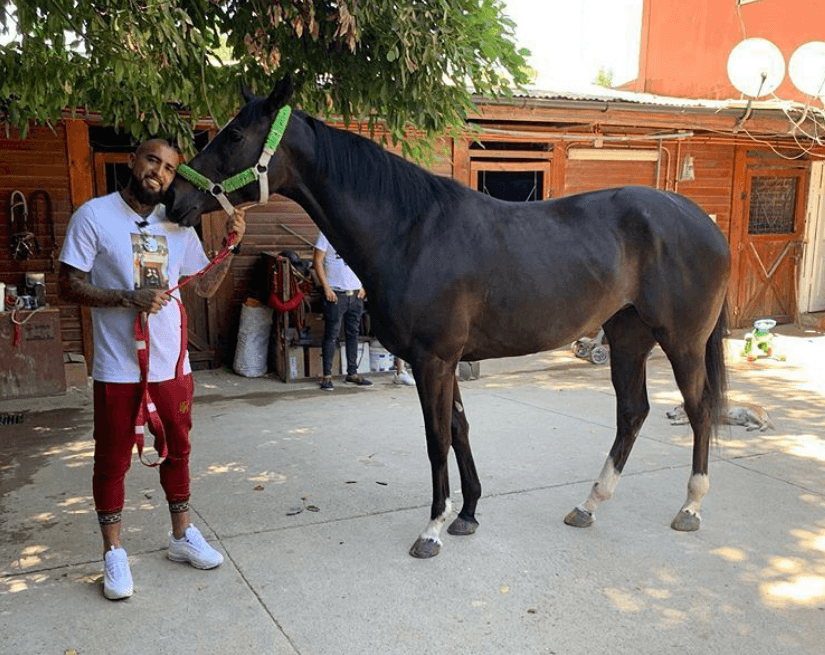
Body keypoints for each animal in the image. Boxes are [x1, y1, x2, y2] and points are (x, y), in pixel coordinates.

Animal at [166, 77, 728, 560]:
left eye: (234, 134)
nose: (172, 198)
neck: (409, 230)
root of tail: (703, 223)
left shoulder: (433, 360)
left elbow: (437, 440)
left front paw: (433, 528)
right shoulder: (444, 361)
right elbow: (459, 430)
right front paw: (469, 513)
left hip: (680, 340)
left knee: (699, 410)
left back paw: (692, 506)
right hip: (628, 335)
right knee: (632, 412)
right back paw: (589, 505)